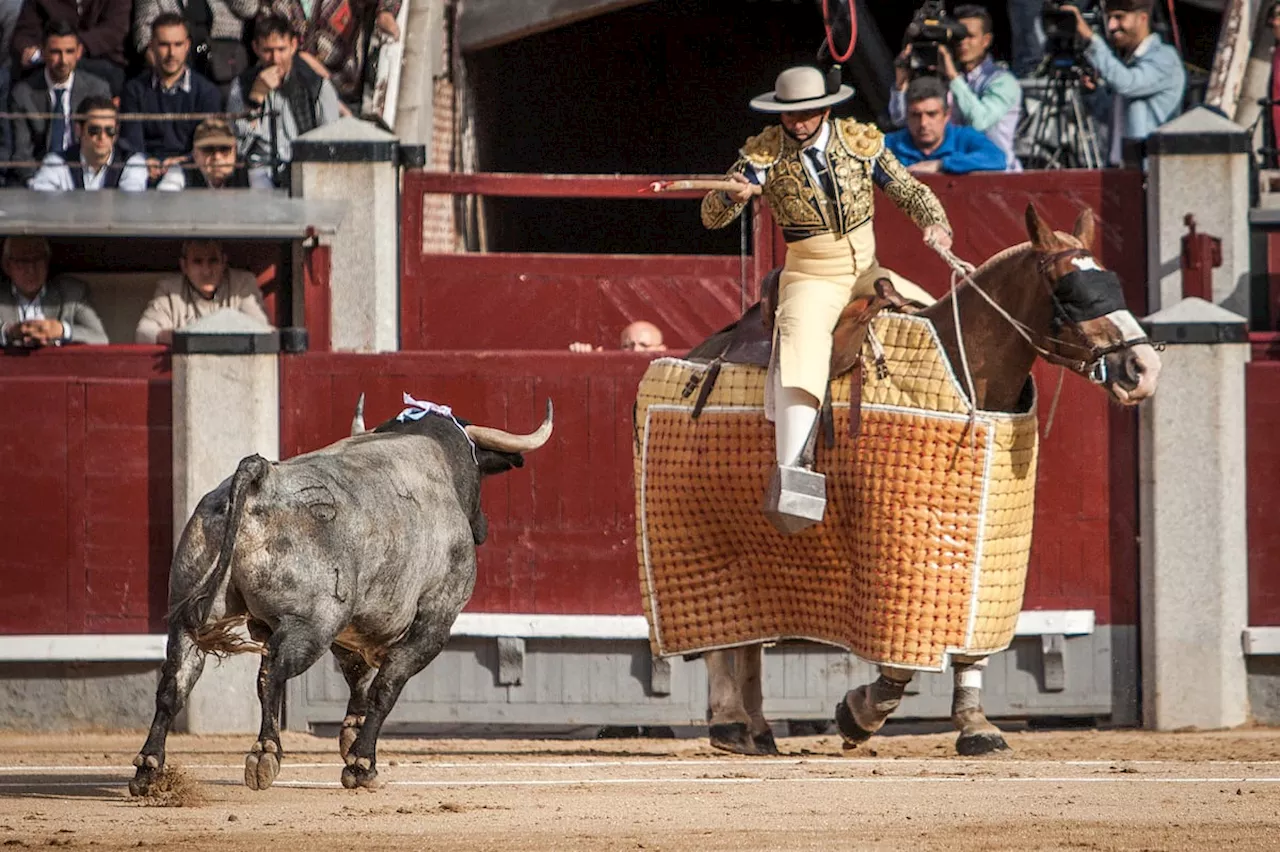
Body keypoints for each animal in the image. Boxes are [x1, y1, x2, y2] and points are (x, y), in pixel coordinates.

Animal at [127, 394, 552, 793]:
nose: (482, 527)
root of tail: (263, 476)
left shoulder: (353, 629)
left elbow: (358, 677)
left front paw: (351, 738)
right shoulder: (434, 621)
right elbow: (386, 686)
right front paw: (362, 764)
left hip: (189, 614)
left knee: (175, 681)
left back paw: (149, 768)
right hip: (312, 624)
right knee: (271, 673)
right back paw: (265, 754)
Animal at [686, 202, 1167, 752]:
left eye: (1113, 284)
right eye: (1069, 293)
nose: (1142, 368)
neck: (965, 372)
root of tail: (704, 349)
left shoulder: (986, 541)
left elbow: (969, 634)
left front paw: (976, 725)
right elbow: (903, 648)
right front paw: (861, 712)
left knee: (749, 633)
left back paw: (758, 730)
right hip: (704, 527)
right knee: (718, 629)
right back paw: (729, 723)